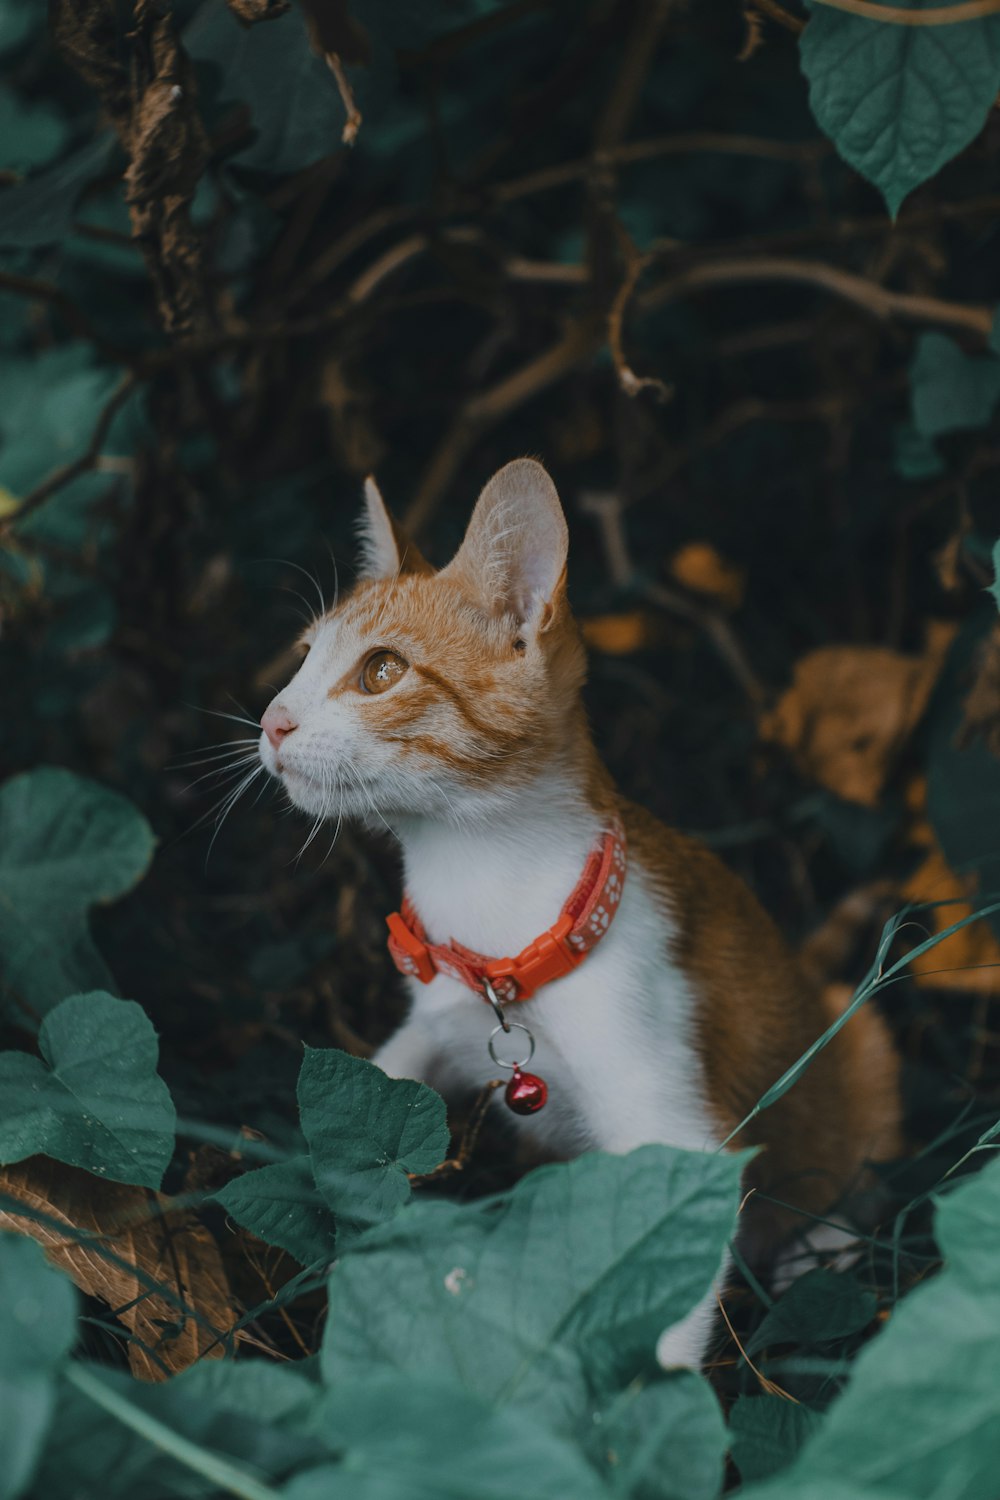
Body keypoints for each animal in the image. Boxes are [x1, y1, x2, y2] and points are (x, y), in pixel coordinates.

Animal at [257, 459, 899, 1374]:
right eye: (304, 658)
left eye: (381, 671)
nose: (272, 720)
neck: (493, 906)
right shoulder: (438, 1016)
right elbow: (381, 1080)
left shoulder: (677, 1137)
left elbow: (670, 1319)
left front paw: (644, 1409)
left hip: (864, 1043)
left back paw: (824, 1241)